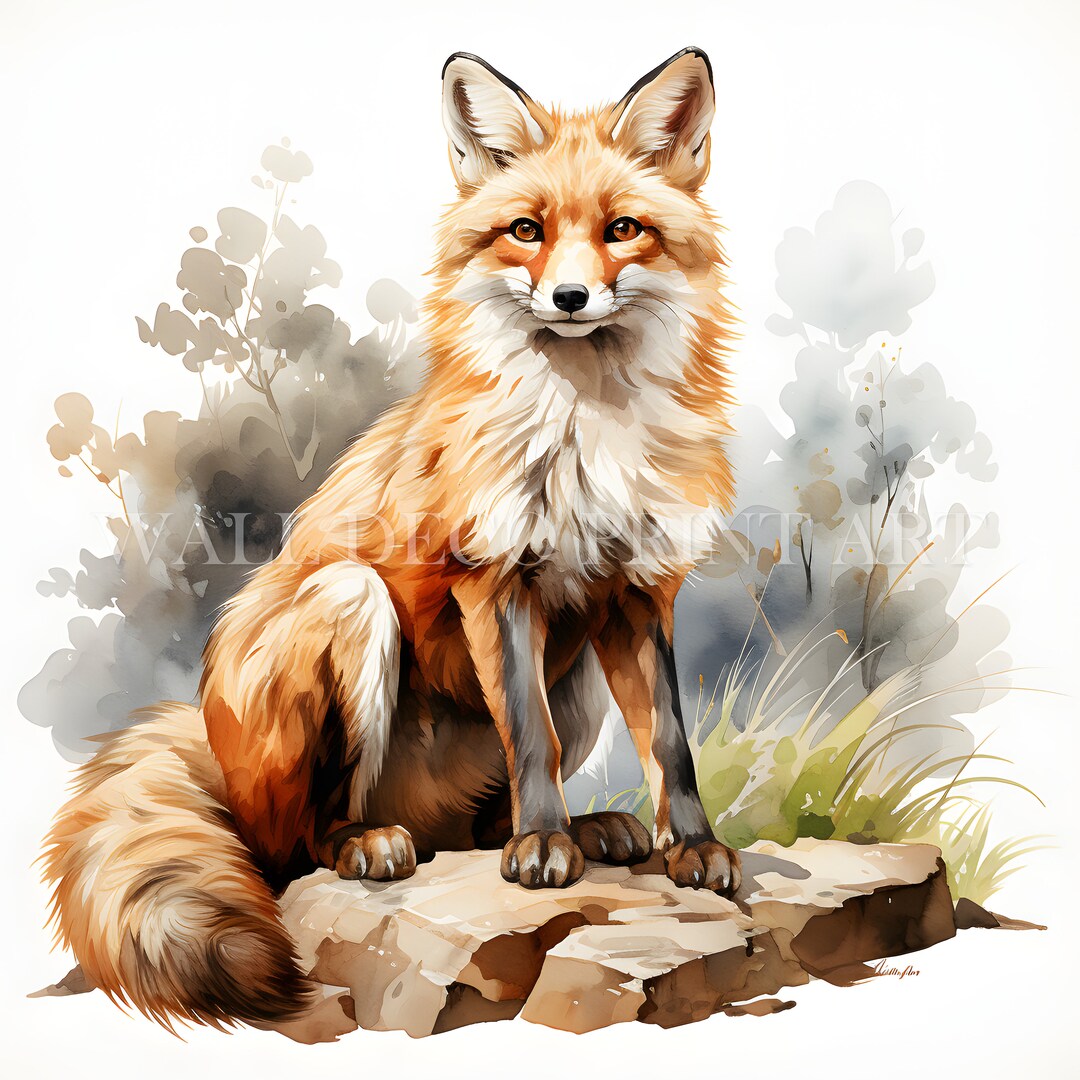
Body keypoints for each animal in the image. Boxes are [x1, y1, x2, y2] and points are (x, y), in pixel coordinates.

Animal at [42, 46, 740, 1031]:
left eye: (622, 229)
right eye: (525, 230)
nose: (569, 297)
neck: (584, 429)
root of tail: (212, 743)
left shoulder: (639, 591)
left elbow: (670, 743)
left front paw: (695, 846)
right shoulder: (495, 579)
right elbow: (530, 738)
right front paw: (541, 849)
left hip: (579, 685)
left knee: (476, 823)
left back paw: (582, 829)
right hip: (350, 607)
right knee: (292, 846)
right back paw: (376, 841)